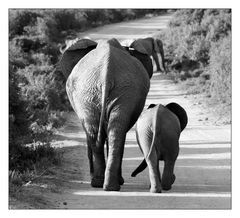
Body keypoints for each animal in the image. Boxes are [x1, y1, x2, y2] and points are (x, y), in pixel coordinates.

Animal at [57, 37, 150, 191]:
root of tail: (107, 73)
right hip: (92, 92)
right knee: (107, 133)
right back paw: (106, 184)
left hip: (107, 92)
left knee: (106, 133)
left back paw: (103, 183)